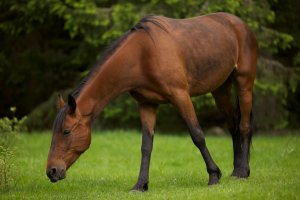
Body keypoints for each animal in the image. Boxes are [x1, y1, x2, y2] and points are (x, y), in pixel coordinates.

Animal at [46, 12, 258, 191]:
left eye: (66, 131)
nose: (52, 171)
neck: (142, 54)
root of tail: (240, 24)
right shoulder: (147, 105)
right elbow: (146, 146)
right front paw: (140, 185)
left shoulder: (181, 96)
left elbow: (197, 135)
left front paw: (214, 175)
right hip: (219, 90)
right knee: (233, 125)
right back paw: (236, 171)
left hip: (244, 83)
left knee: (245, 126)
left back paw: (243, 172)